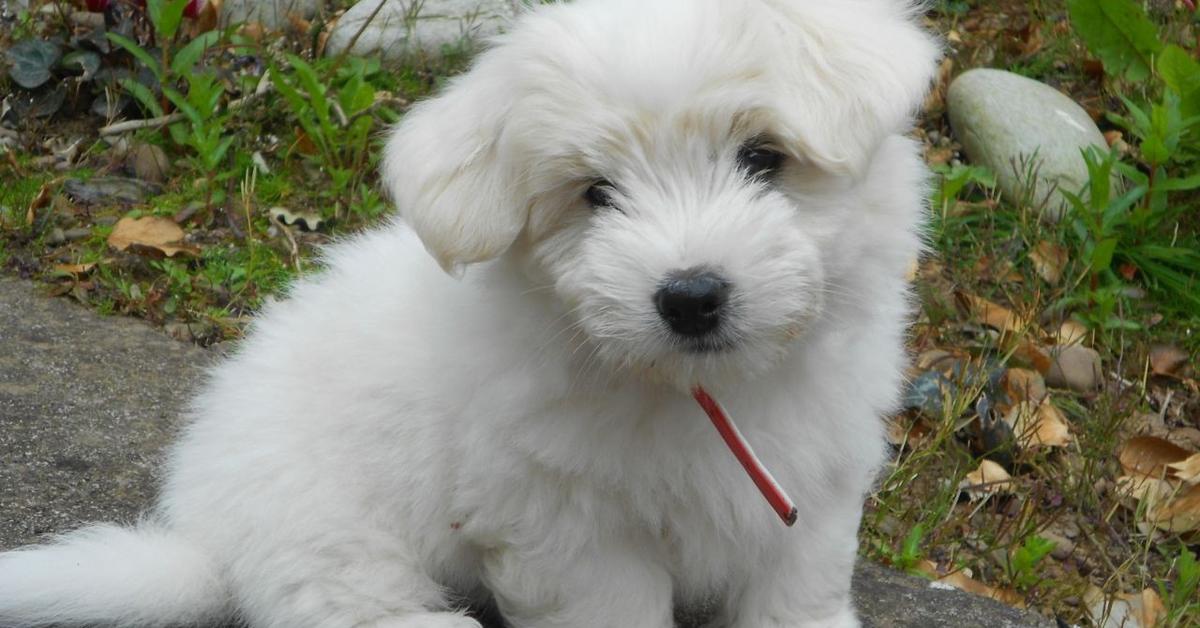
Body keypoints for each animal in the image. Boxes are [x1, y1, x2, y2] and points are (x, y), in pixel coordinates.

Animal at [0, 0, 936, 624]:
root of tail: (207, 539)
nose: (691, 295)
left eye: (762, 157)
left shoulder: (814, 490)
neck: (697, 391)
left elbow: (797, 593)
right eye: (595, 194)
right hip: (327, 533)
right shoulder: (569, 526)